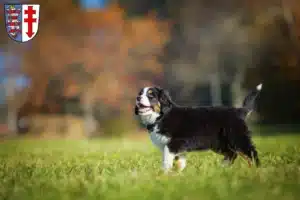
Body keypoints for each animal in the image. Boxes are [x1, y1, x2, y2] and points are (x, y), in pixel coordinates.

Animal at [134, 83, 262, 173]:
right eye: (140, 93)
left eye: (151, 95)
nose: (138, 97)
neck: (161, 117)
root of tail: (239, 110)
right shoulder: (177, 147)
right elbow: (180, 160)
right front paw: (178, 173)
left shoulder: (175, 142)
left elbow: (167, 158)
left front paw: (164, 173)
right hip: (219, 143)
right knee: (232, 154)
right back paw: (222, 168)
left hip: (237, 138)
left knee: (251, 153)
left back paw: (257, 170)